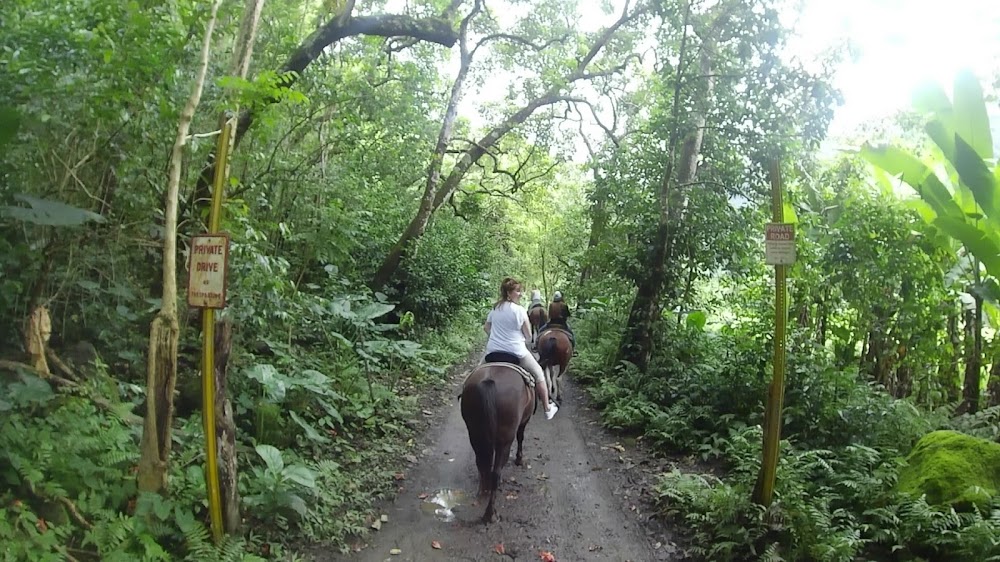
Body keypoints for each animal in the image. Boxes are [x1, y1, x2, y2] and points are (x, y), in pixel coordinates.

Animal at [462, 358, 540, 520]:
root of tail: (489, 382)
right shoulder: (524, 421)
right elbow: (521, 437)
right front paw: (519, 459)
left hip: (474, 433)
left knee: (482, 464)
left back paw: (483, 493)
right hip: (504, 439)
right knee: (496, 472)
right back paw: (490, 514)